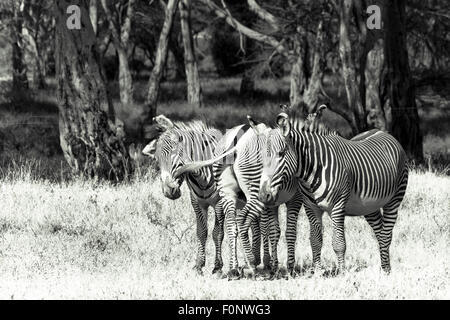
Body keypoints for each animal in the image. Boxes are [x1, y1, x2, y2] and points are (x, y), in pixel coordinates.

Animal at [141, 115, 225, 276]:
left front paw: (217, 267)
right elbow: (201, 232)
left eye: (175, 154)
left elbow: (217, 232)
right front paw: (199, 265)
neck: (202, 175)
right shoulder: (197, 202)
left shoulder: (218, 202)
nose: (168, 191)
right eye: (157, 160)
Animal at [256, 107, 408, 272]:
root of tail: (382, 132)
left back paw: (386, 271)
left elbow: (339, 243)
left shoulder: (338, 206)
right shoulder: (311, 207)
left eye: (281, 153)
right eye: (262, 157)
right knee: (380, 232)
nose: (263, 196)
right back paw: (383, 268)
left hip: (394, 198)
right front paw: (317, 271)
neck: (312, 171)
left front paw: (342, 272)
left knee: (386, 234)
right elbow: (315, 241)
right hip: (369, 206)